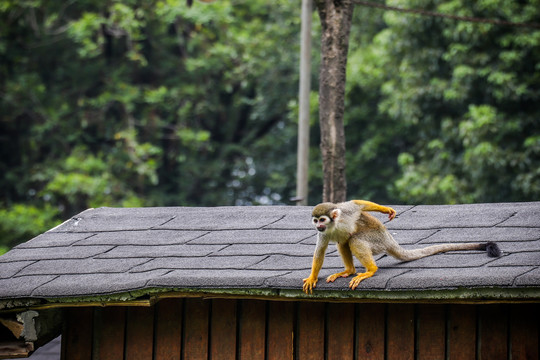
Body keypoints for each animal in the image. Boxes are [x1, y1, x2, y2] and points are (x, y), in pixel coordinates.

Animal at [304, 201, 502, 294]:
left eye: (322, 219)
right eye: (315, 221)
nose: (318, 225)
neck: (334, 225)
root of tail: (389, 239)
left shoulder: (346, 212)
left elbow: (357, 205)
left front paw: (385, 210)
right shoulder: (323, 233)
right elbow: (320, 252)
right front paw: (312, 277)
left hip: (378, 240)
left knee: (355, 239)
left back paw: (371, 269)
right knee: (344, 241)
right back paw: (349, 270)